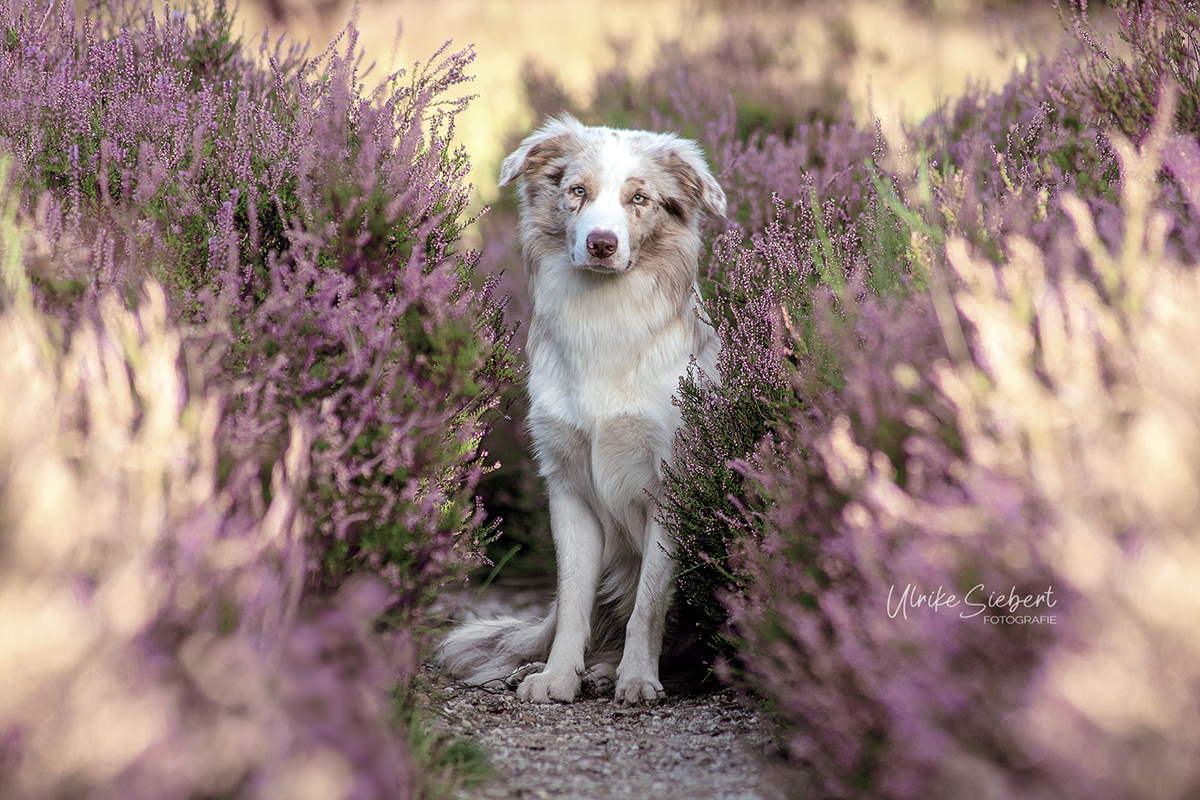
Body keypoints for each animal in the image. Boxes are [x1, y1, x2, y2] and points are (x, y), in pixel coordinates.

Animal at [439, 115, 724, 705]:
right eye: (577, 191)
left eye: (639, 198)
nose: (601, 243)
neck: (603, 319)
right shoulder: (567, 485)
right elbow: (572, 601)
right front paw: (556, 676)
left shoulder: (668, 487)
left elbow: (649, 604)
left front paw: (638, 678)